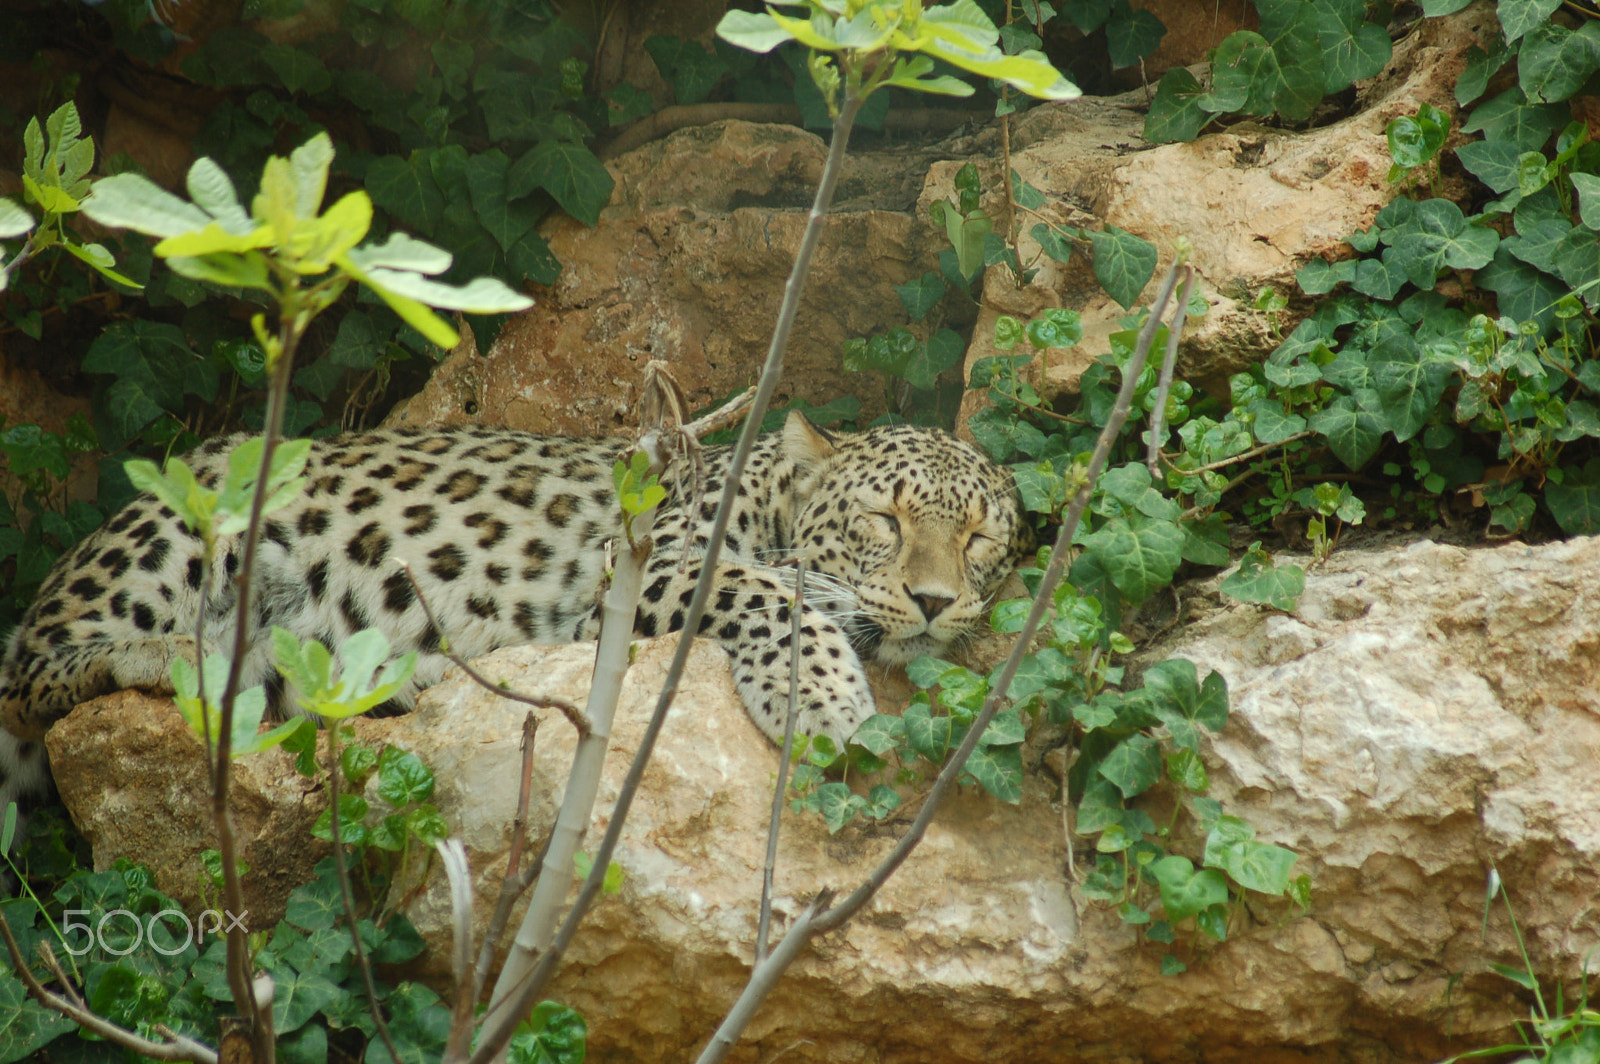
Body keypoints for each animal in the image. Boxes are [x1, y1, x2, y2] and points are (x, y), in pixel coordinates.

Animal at [0, 409, 1024, 809]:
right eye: (884, 521)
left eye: (979, 539)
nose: (934, 600)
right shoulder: (637, 574)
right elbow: (774, 594)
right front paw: (822, 701)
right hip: (192, 516)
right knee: (23, 665)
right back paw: (170, 654)